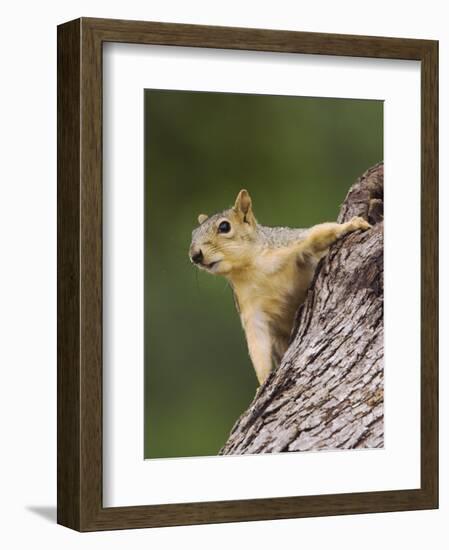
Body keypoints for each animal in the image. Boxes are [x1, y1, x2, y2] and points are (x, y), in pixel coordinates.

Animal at [187, 190, 370, 388]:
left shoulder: (290, 243)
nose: (195, 256)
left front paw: (353, 224)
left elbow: (319, 233)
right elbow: (257, 342)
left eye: (224, 227)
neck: (252, 268)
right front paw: (263, 381)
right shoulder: (250, 308)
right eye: (193, 233)